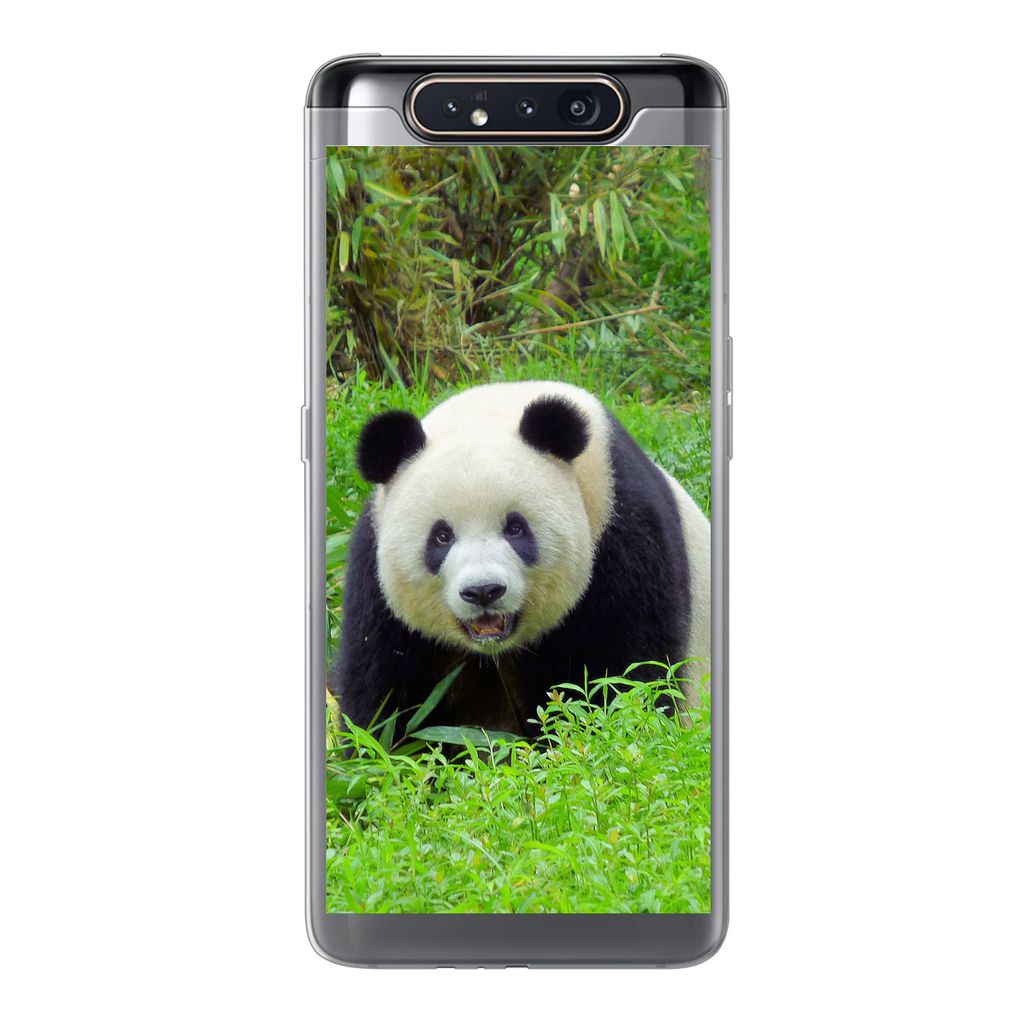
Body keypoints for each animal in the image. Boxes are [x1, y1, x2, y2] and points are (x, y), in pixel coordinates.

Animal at [328, 381, 711, 738]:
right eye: (441, 536)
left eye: (515, 528)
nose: (483, 592)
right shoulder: (375, 574)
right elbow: (385, 691)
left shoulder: (622, 533)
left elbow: (628, 671)